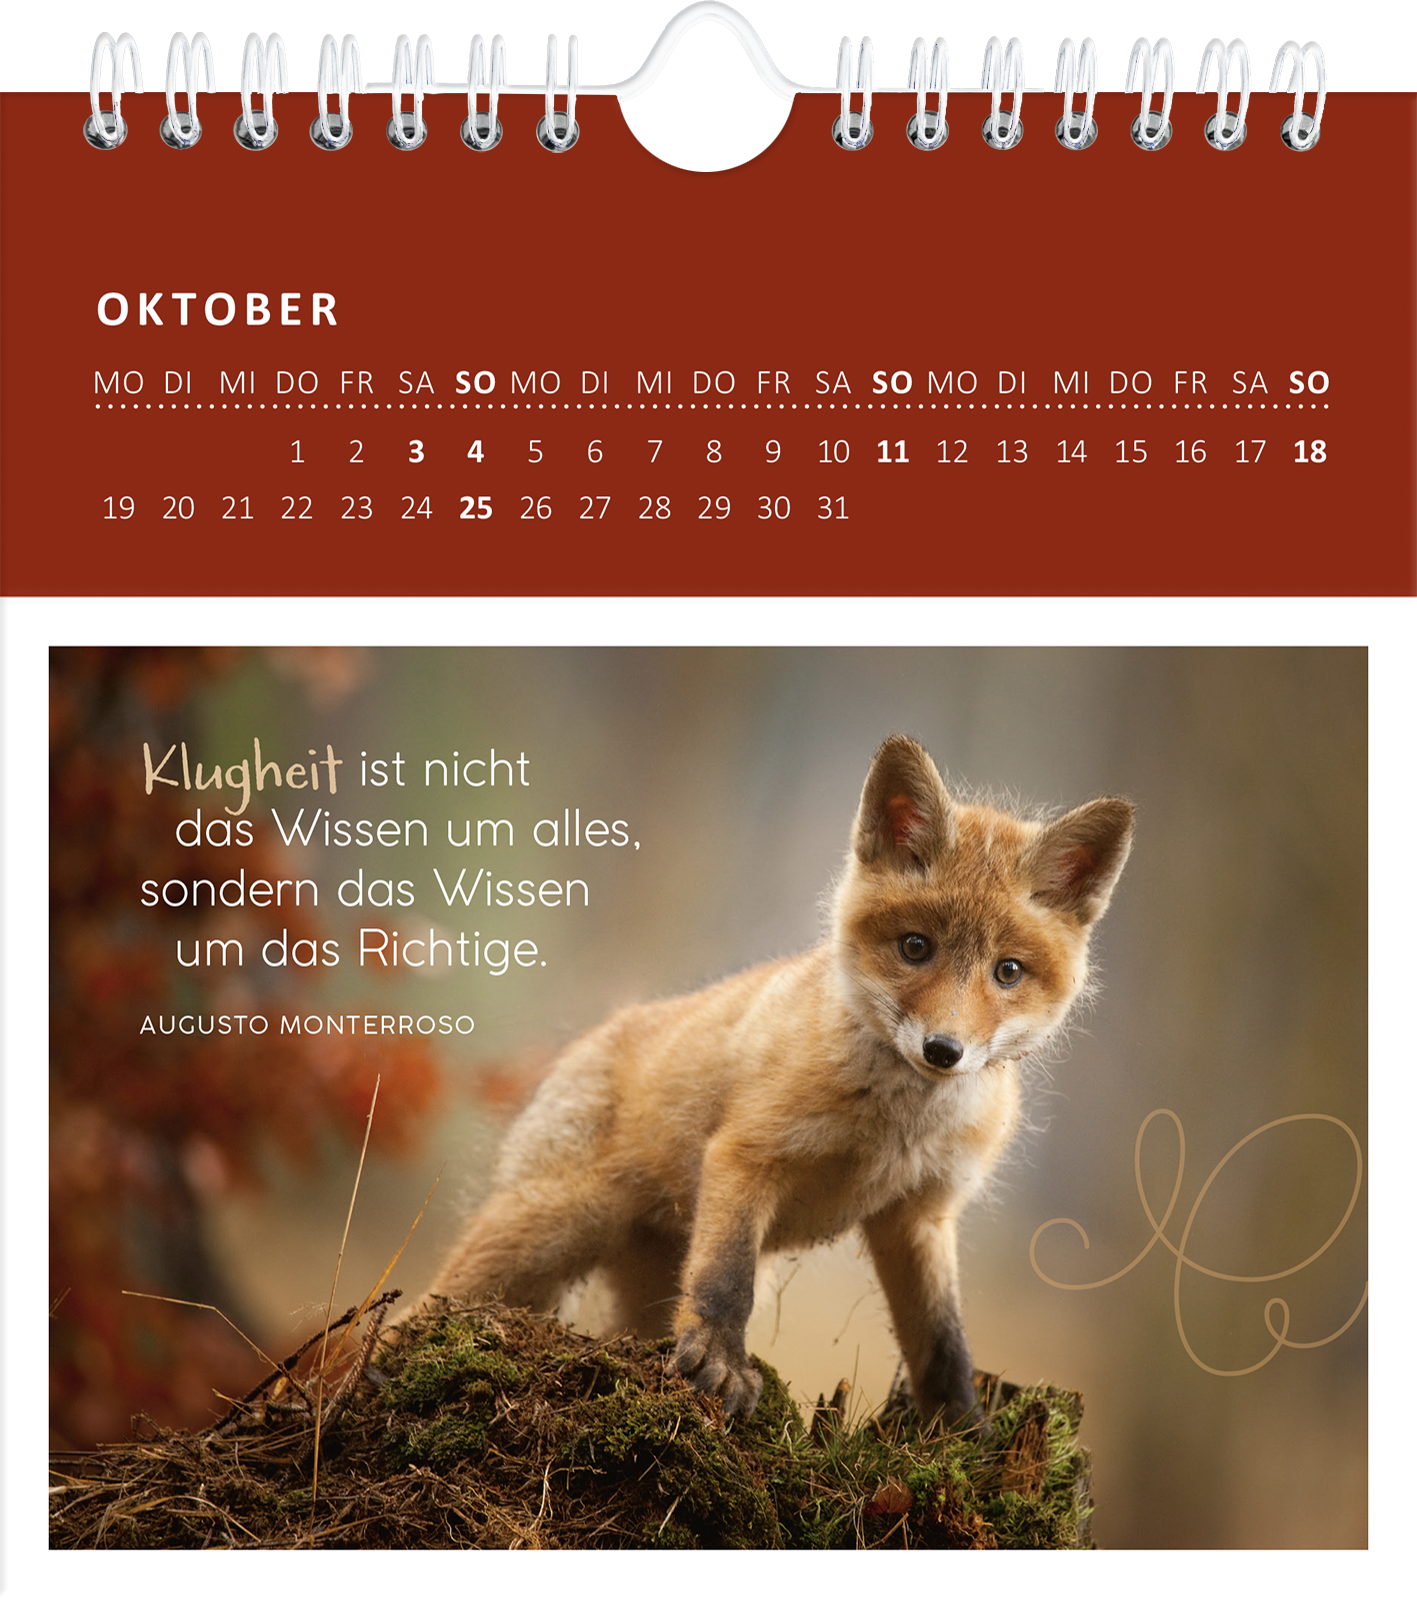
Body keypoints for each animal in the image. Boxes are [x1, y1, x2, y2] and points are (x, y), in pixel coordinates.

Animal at [422, 734, 1134, 1426]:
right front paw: (720, 1365)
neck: (894, 1128)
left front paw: (962, 1435)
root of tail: (597, 1033)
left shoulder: (919, 1214)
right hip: (544, 1232)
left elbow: (943, 1344)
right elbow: (727, 1281)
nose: (943, 1050)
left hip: (640, 1278)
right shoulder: (747, 1155)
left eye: (1007, 971)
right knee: (427, 1306)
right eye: (915, 947)